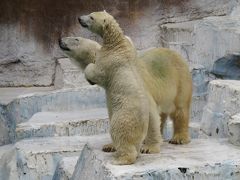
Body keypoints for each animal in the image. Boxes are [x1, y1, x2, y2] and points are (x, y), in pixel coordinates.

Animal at [79, 10, 161, 165]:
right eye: (90, 13)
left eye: (91, 17)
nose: (79, 18)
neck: (116, 42)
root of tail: (142, 127)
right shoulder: (130, 45)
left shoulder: (109, 60)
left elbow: (97, 71)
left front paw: (89, 73)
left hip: (123, 117)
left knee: (120, 133)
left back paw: (120, 159)